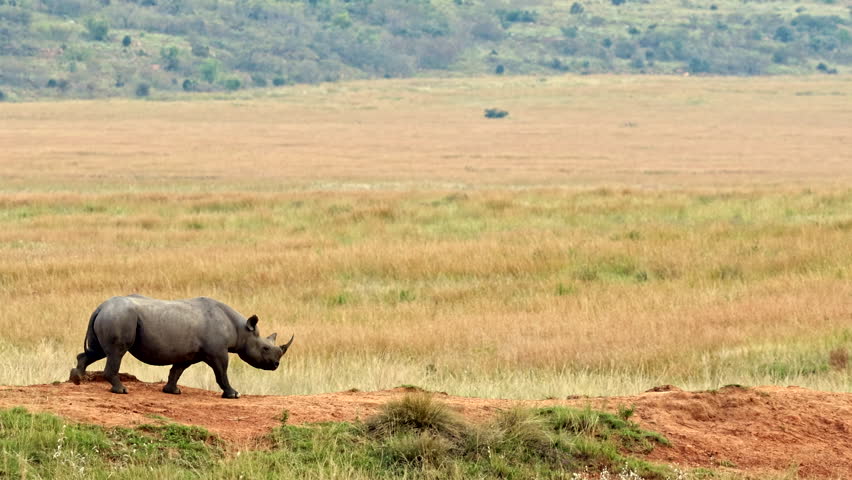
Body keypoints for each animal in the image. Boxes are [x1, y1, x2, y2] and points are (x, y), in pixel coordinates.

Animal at [69, 294, 294, 398]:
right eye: (265, 348)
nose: (275, 365)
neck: (241, 329)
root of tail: (100, 307)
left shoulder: (190, 353)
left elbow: (177, 370)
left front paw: (172, 391)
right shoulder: (217, 352)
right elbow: (222, 373)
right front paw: (233, 394)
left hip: (112, 315)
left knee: (97, 351)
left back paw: (77, 379)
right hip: (120, 316)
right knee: (117, 352)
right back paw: (121, 391)